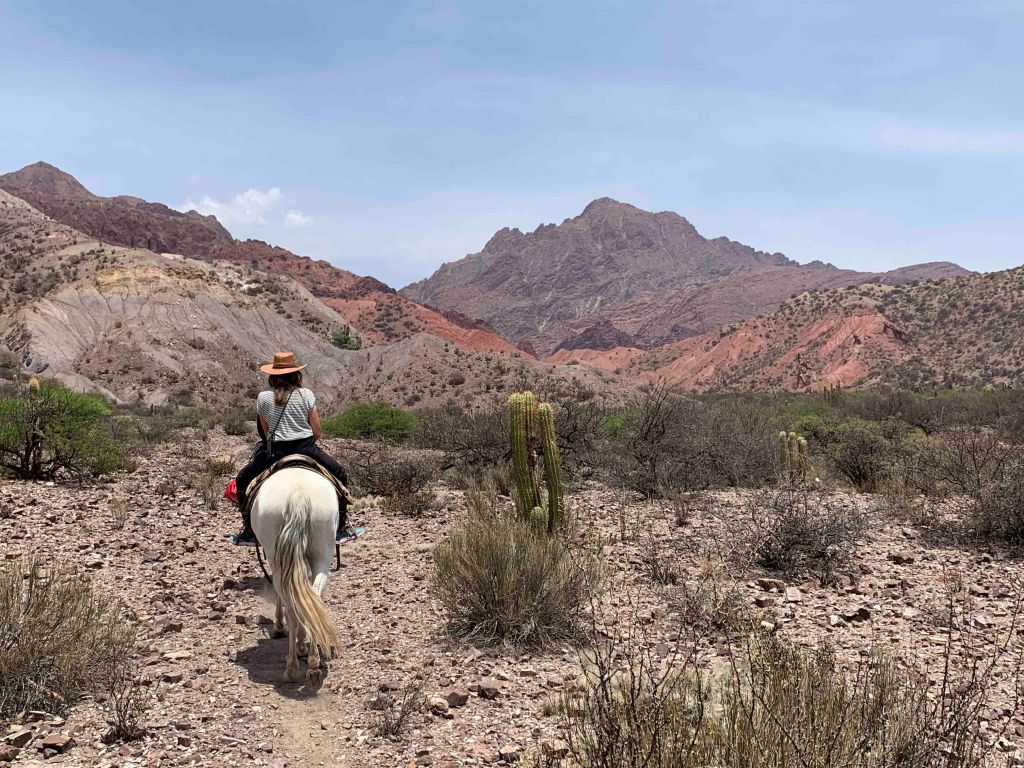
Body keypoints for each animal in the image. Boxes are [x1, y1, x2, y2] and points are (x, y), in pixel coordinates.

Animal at [251, 467, 343, 690]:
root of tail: (299, 493)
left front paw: (279, 627)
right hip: (322, 553)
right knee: (313, 599)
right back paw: (313, 663)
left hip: (278, 558)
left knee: (291, 606)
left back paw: (292, 668)